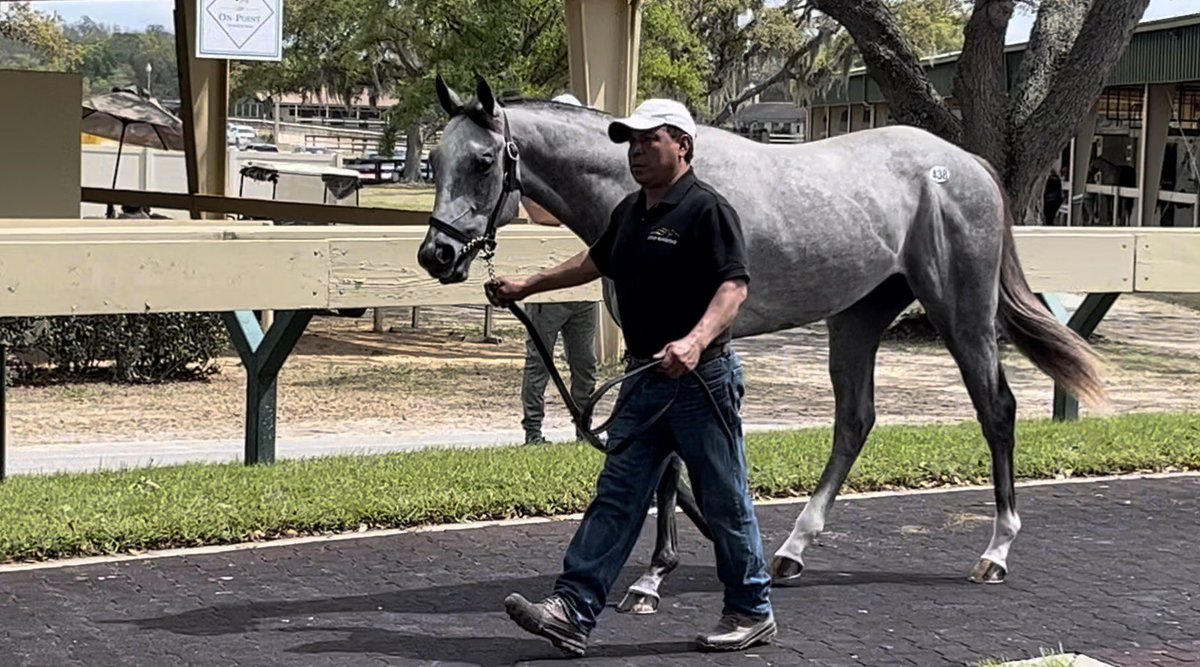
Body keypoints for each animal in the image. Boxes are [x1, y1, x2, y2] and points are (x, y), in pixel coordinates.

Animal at [417, 75, 1107, 615]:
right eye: (435, 161)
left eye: (483, 162)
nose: (437, 254)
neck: (651, 194)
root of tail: (966, 164)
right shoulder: (655, 350)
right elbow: (667, 462)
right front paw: (671, 562)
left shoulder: (683, 347)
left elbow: (672, 461)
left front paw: (651, 579)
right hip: (857, 316)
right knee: (855, 420)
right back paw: (792, 549)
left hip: (960, 311)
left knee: (997, 410)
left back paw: (996, 550)